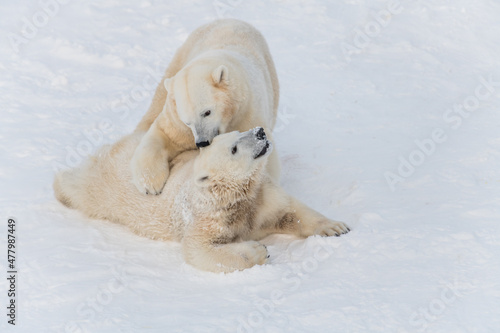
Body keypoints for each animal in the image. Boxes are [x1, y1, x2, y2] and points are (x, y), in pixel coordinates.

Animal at [53, 127, 352, 272]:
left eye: (239, 131)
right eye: (234, 148)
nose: (260, 131)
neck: (238, 197)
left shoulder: (261, 197)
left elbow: (291, 210)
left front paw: (335, 227)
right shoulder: (207, 217)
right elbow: (200, 250)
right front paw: (259, 250)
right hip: (103, 189)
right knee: (80, 187)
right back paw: (60, 185)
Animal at [131, 18, 282, 195]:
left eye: (207, 112)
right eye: (187, 121)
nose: (201, 142)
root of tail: (232, 20)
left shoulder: (247, 111)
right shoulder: (178, 119)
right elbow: (165, 134)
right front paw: (150, 184)